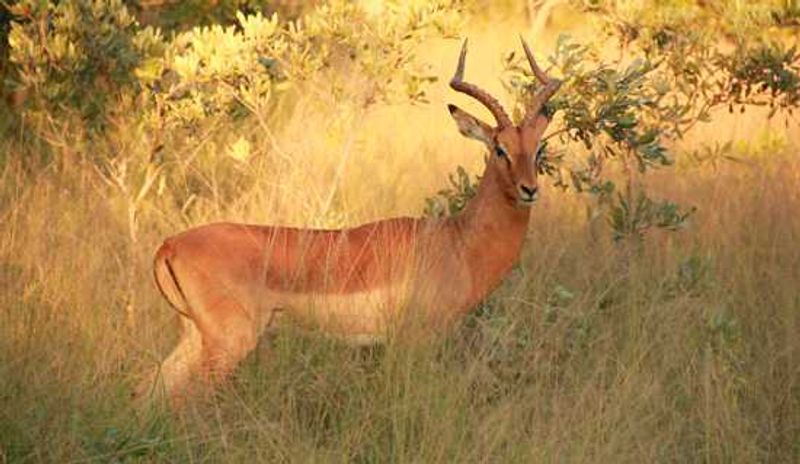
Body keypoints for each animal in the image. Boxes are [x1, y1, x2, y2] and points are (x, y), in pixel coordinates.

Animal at [142, 38, 561, 404]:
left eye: (538, 148)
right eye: (499, 148)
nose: (529, 189)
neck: (456, 242)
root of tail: (168, 245)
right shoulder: (416, 339)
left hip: (194, 338)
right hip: (227, 344)